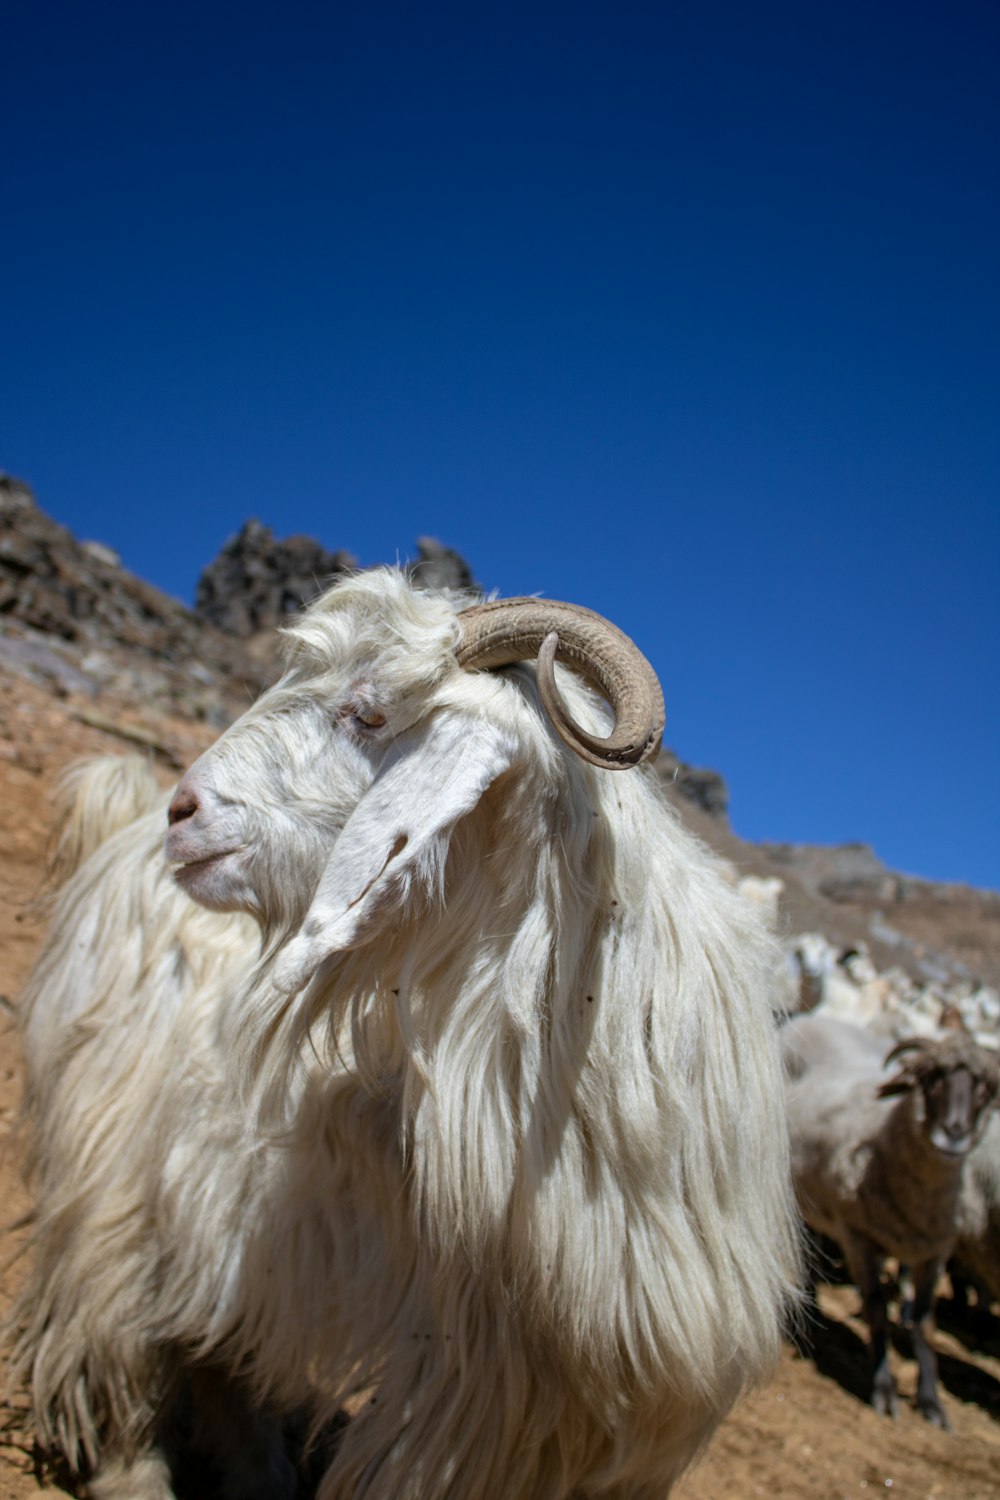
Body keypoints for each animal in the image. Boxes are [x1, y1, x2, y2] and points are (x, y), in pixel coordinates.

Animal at [7, 570, 803, 1500]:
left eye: (370, 713)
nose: (185, 811)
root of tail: (118, 828)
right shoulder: (473, 1388)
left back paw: (259, 1471)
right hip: (113, 1161)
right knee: (106, 1324)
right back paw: (135, 1472)